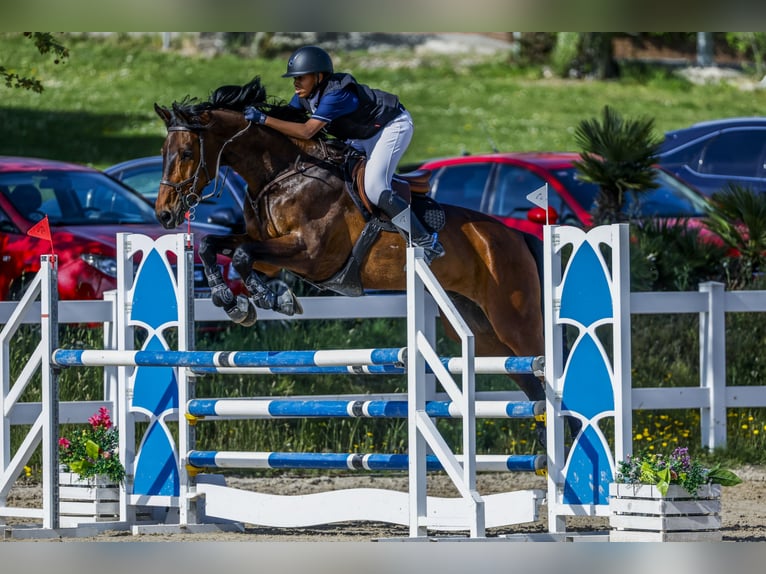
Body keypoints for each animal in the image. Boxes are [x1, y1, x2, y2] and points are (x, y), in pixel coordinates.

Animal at [153, 77, 547, 426]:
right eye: (162, 153)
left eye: (186, 153)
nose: (165, 214)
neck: (280, 176)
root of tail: (514, 235)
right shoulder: (268, 252)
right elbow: (217, 247)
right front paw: (236, 300)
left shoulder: (311, 254)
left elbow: (242, 255)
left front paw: (268, 299)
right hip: (480, 330)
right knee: (533, 391)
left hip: (514, 321)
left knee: (544, 370)